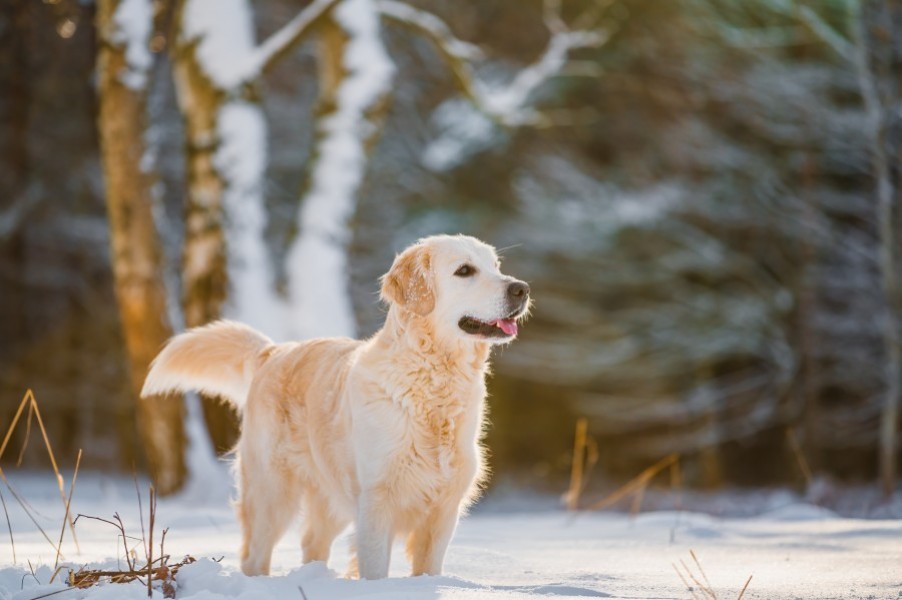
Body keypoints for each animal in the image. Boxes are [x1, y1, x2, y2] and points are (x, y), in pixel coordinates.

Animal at [140, 233, 528, 576]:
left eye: (495, 266)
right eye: (465, 270)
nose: (521, 289)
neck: (432, 385)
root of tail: (273, 352)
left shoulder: (443, 510)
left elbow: (429, 570)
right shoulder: (376, 503)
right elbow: (374, 571)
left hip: (330, 500)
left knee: (312, 543)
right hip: (272, 493)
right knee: (254, 556)